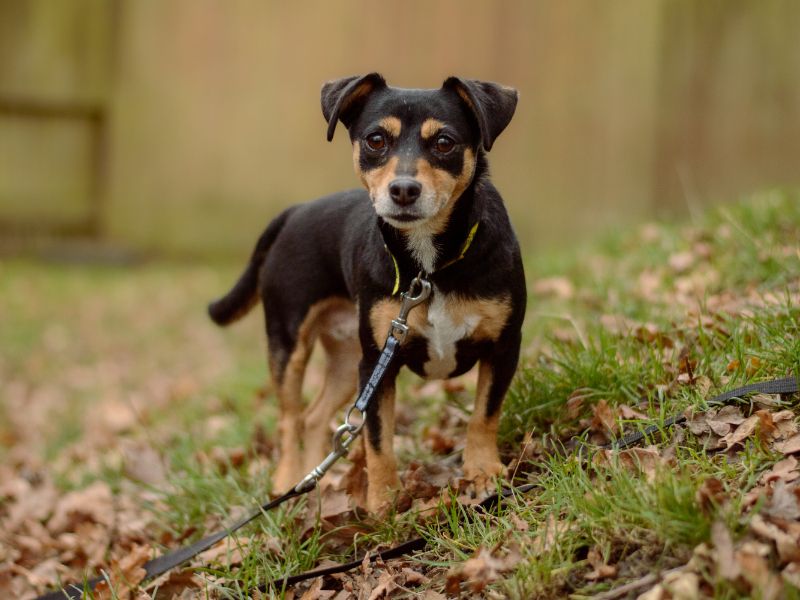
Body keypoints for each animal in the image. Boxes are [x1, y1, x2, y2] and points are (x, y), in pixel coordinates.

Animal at [209, 71, 528, 510]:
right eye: (376, 139)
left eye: (444, 142)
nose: (404, 189)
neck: (427, 268)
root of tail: (295, 212)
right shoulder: (378, 361)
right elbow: (378, 441)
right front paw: (383, 504)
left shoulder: (503, 346)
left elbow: (483, 415)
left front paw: (482, 474)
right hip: (290, 344)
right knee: (290, 418)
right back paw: (287, 482)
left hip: (347, 359)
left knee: (313, 417)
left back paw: (317, 486)